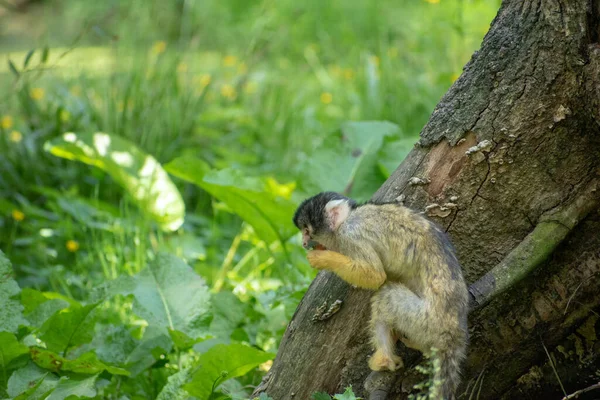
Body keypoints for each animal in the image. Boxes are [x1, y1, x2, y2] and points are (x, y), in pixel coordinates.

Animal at [292, 192, 472, 398]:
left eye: (307, 230)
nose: (304, 243)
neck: (348, 217)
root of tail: (453, 335)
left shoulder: (352, 235)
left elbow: (375, 276)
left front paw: (322, 259)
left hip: (425, 320)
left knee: (386, 295)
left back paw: (384, 359)